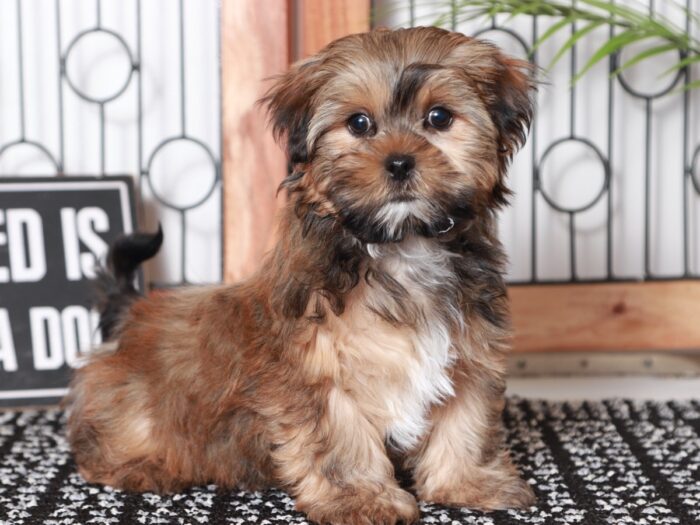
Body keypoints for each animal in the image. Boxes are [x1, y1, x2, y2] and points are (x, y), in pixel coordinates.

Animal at [65, 26, 536, 524]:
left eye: (439, 117)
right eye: (359, 124)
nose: (400, 163)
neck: (401, 247)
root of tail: (131, 315)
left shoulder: (471, 354)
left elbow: (466, 421)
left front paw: (469, 483)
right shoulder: (318, 369)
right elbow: (340, 439)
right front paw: (360, 499)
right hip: (130, 405)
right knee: (103, 443)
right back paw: (143, 466)